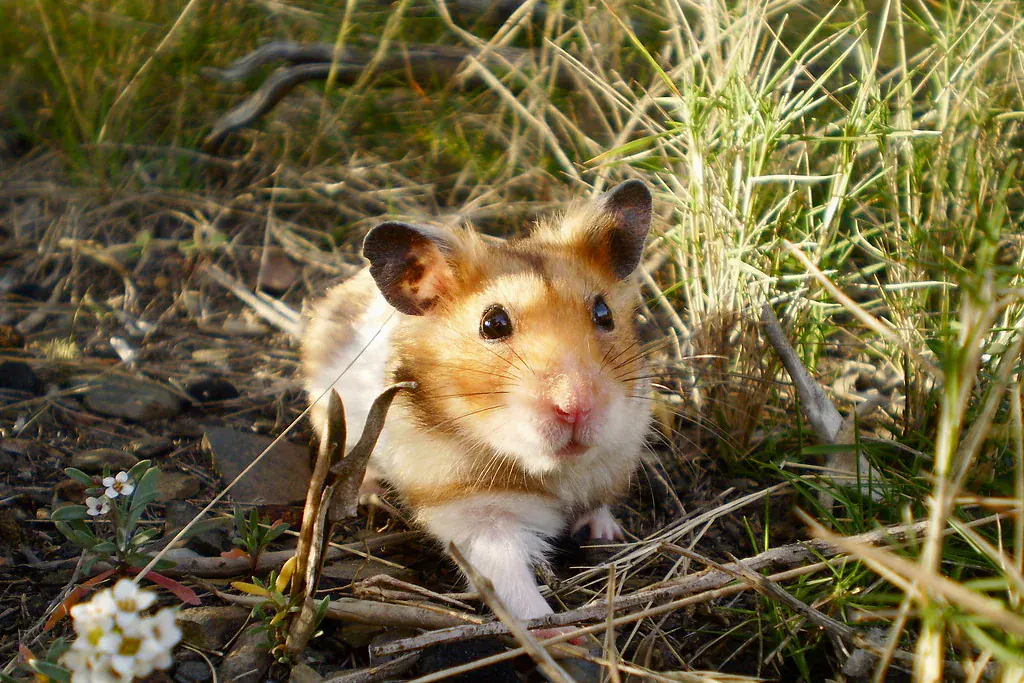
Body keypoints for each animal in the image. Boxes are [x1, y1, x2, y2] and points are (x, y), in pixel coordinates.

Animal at [302, 179, 654, 621]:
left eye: (604, 313)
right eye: (493, 323)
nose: (576, 405)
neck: (552, 472)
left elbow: (598, 504)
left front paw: (608, 533)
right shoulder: (475, 514)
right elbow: (509, 582)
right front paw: (552, 625)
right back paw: (371, 494)